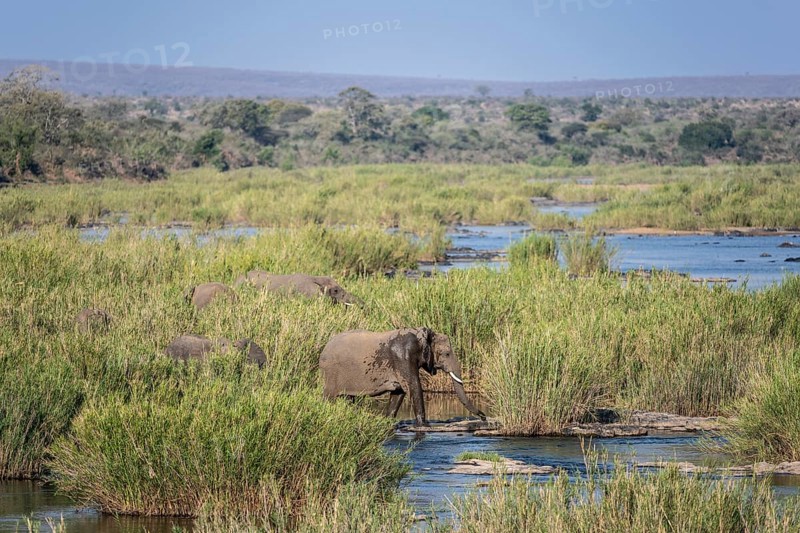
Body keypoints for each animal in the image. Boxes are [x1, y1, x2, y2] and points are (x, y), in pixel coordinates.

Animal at [319, 328, 485, 426]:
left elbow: (399, 392)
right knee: (329, 397)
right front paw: (424, 426)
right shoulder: (403, 357)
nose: (483, 417)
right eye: (446, 354)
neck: (422, 335)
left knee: (348, 399)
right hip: (331, 373)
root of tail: (325, 348)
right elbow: (414, 387)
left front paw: (388, 421)